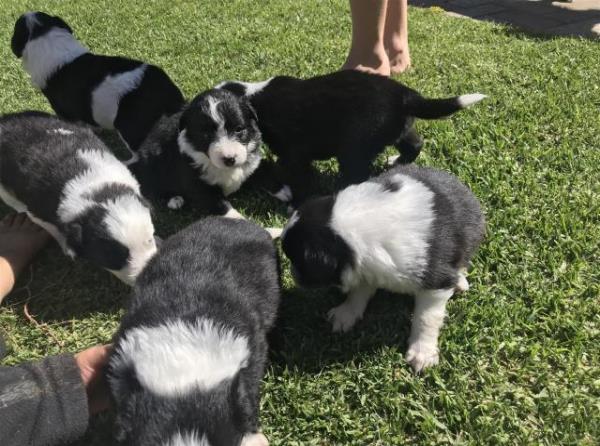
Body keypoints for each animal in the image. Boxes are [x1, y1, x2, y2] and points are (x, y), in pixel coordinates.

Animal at [0, 111, 157, 286]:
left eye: (150, 239)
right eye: (114, 258)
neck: (95, 190)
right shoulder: (37, 211)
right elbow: (53, 229)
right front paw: (68, 248)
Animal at [130, 87, 262, 220]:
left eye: (238, 129)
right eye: (206, 134)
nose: (229, 159)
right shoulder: (197, 184)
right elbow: (220, 204)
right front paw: (239, 219)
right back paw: (174, 199)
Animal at [282, 164, 488, 372]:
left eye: (298, 262)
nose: (292, 274)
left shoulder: (436, 281)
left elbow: (426, 317)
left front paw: (422, 353)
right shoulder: (366, 266)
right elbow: (358, 293)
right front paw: (346, 314)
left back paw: (460, 281)